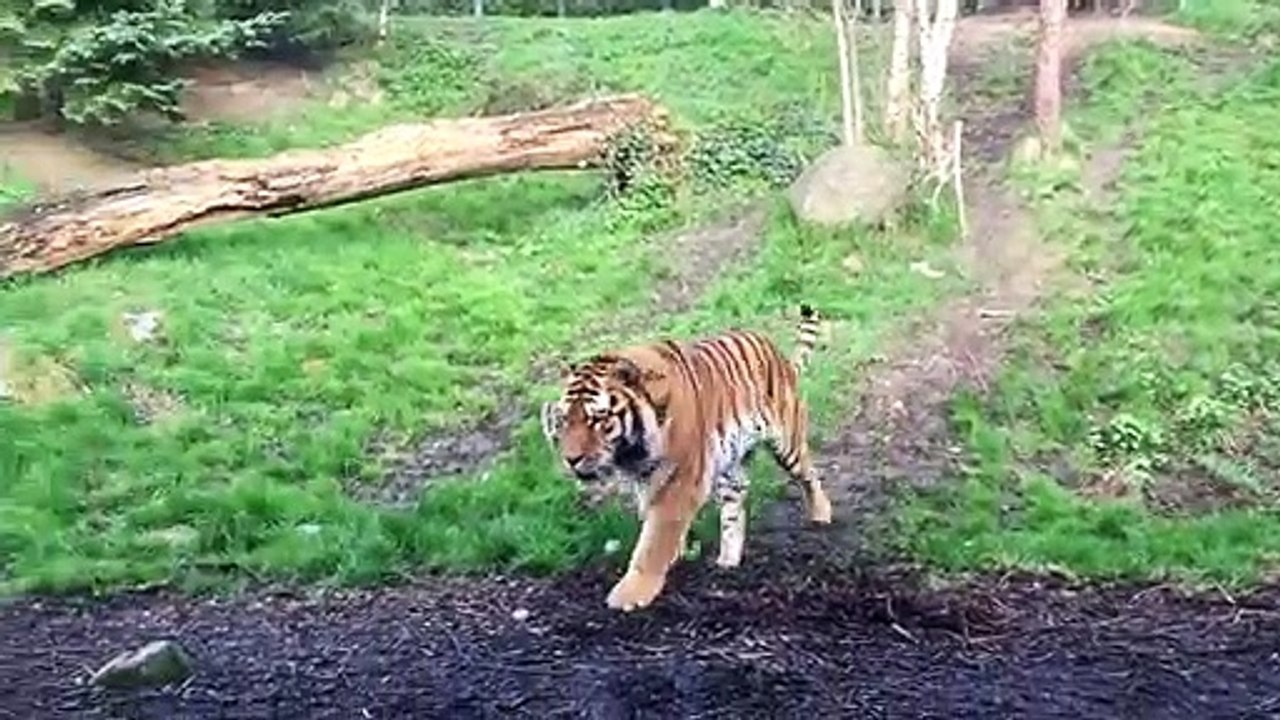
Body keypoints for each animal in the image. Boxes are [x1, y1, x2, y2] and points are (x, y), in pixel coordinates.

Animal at [540, 304, 834, 612]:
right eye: (563, 419)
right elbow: (655, 525)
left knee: (809, 474)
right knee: (736, 503)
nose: (571, 459)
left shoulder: (679, 479)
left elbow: (655, 539)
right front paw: (676, 552)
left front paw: (630, 594)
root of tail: (776, 353)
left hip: (787, 441)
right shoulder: (648, 479)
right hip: (729, 465)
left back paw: (821, 514)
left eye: (598, 418)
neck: (634, 453)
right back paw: (728, 560)